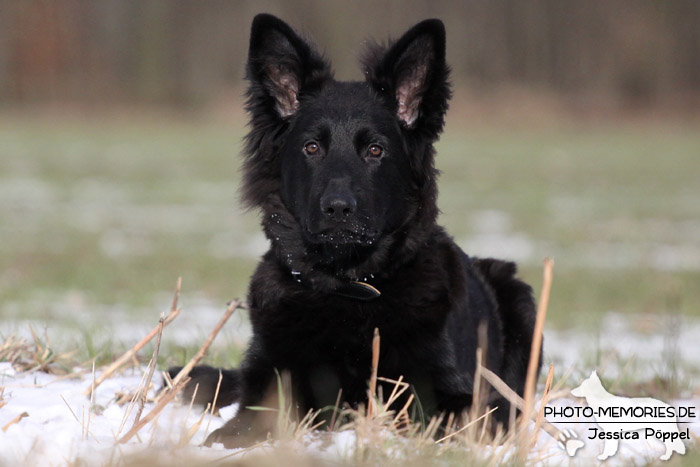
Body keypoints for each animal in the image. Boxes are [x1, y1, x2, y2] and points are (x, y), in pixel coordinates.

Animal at [176, 12, 540, 448]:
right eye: (312, 148)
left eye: (375, 150)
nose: (338, 208)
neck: (347, 286)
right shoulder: (268, 387)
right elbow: (242, 427)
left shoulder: (454, 399)